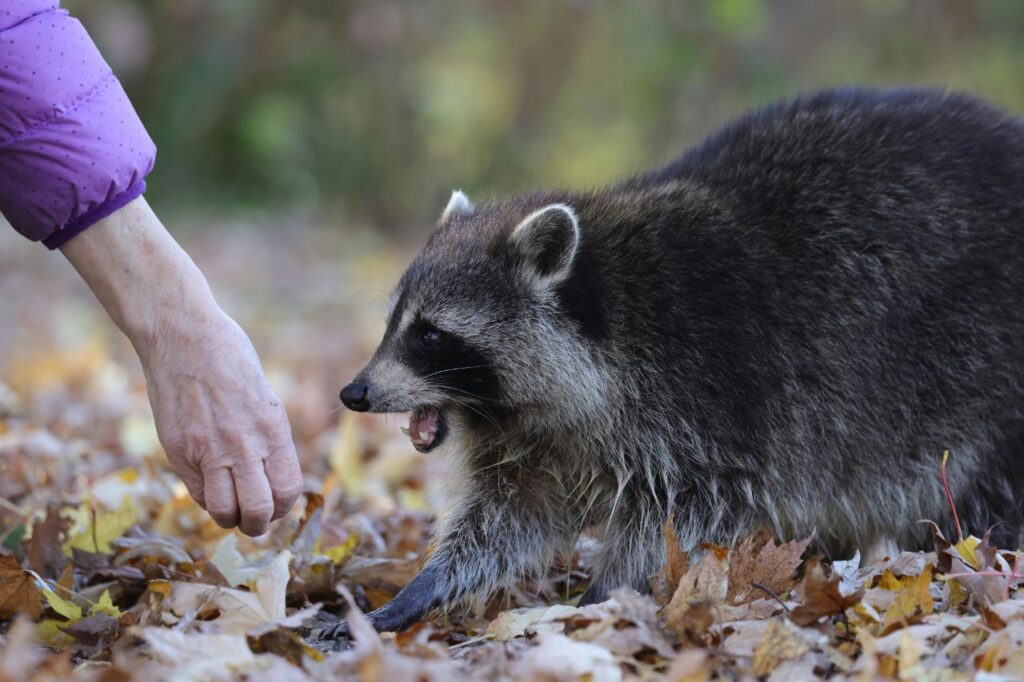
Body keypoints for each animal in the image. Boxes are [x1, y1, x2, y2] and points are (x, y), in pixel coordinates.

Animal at [333, 87, 1024, 634]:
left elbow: (678, 517)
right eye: (394, 324)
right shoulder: (537, 442)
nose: (354, 394)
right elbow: (509, 515)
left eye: (429, 335)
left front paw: (603, 595)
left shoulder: (707, 402)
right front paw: (425, 585)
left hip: (982, 376)